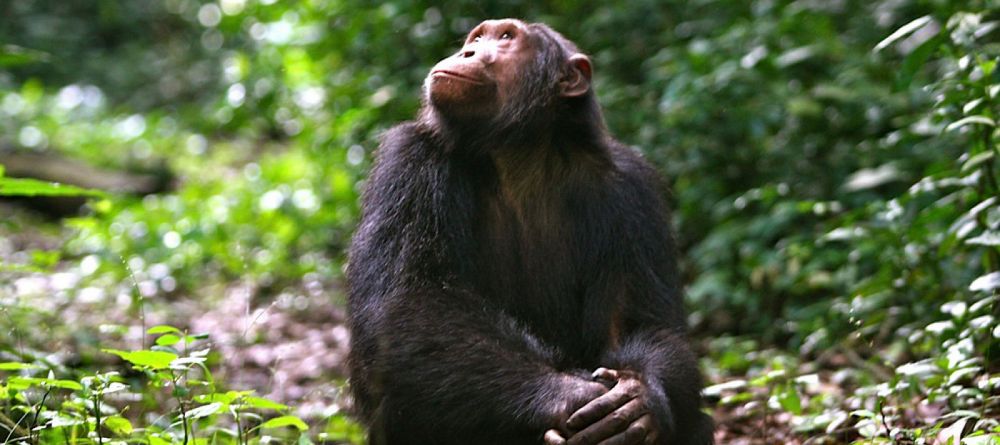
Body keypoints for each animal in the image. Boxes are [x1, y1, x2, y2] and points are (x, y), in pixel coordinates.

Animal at [348, 18, 716, 444]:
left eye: (506, 38)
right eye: (478, 38)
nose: (468, 51)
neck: (520, 152)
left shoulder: (633, 190)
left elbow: (642, 325)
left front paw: (641, 398)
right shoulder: (408, 163)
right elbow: (409, 301)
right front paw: (566, 394)